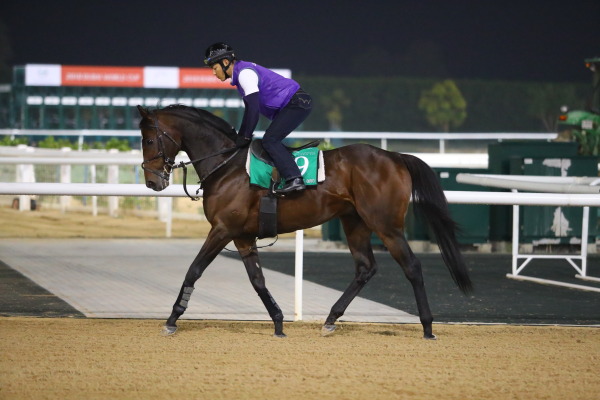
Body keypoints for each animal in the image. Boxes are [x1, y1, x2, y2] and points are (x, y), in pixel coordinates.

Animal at [138, 104, 472, 340]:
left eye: (150, 139)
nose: (153, 182)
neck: (227, 165)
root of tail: (396, 157)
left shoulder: (222, 229)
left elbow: (194, 270)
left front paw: (172, 319)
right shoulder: (242, 236)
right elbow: (257, 280)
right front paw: (278, 322)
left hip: (386, 225)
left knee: (412, 267)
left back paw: (427, 327)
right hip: (355, 223)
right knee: (365, 267)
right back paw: (331, 319)